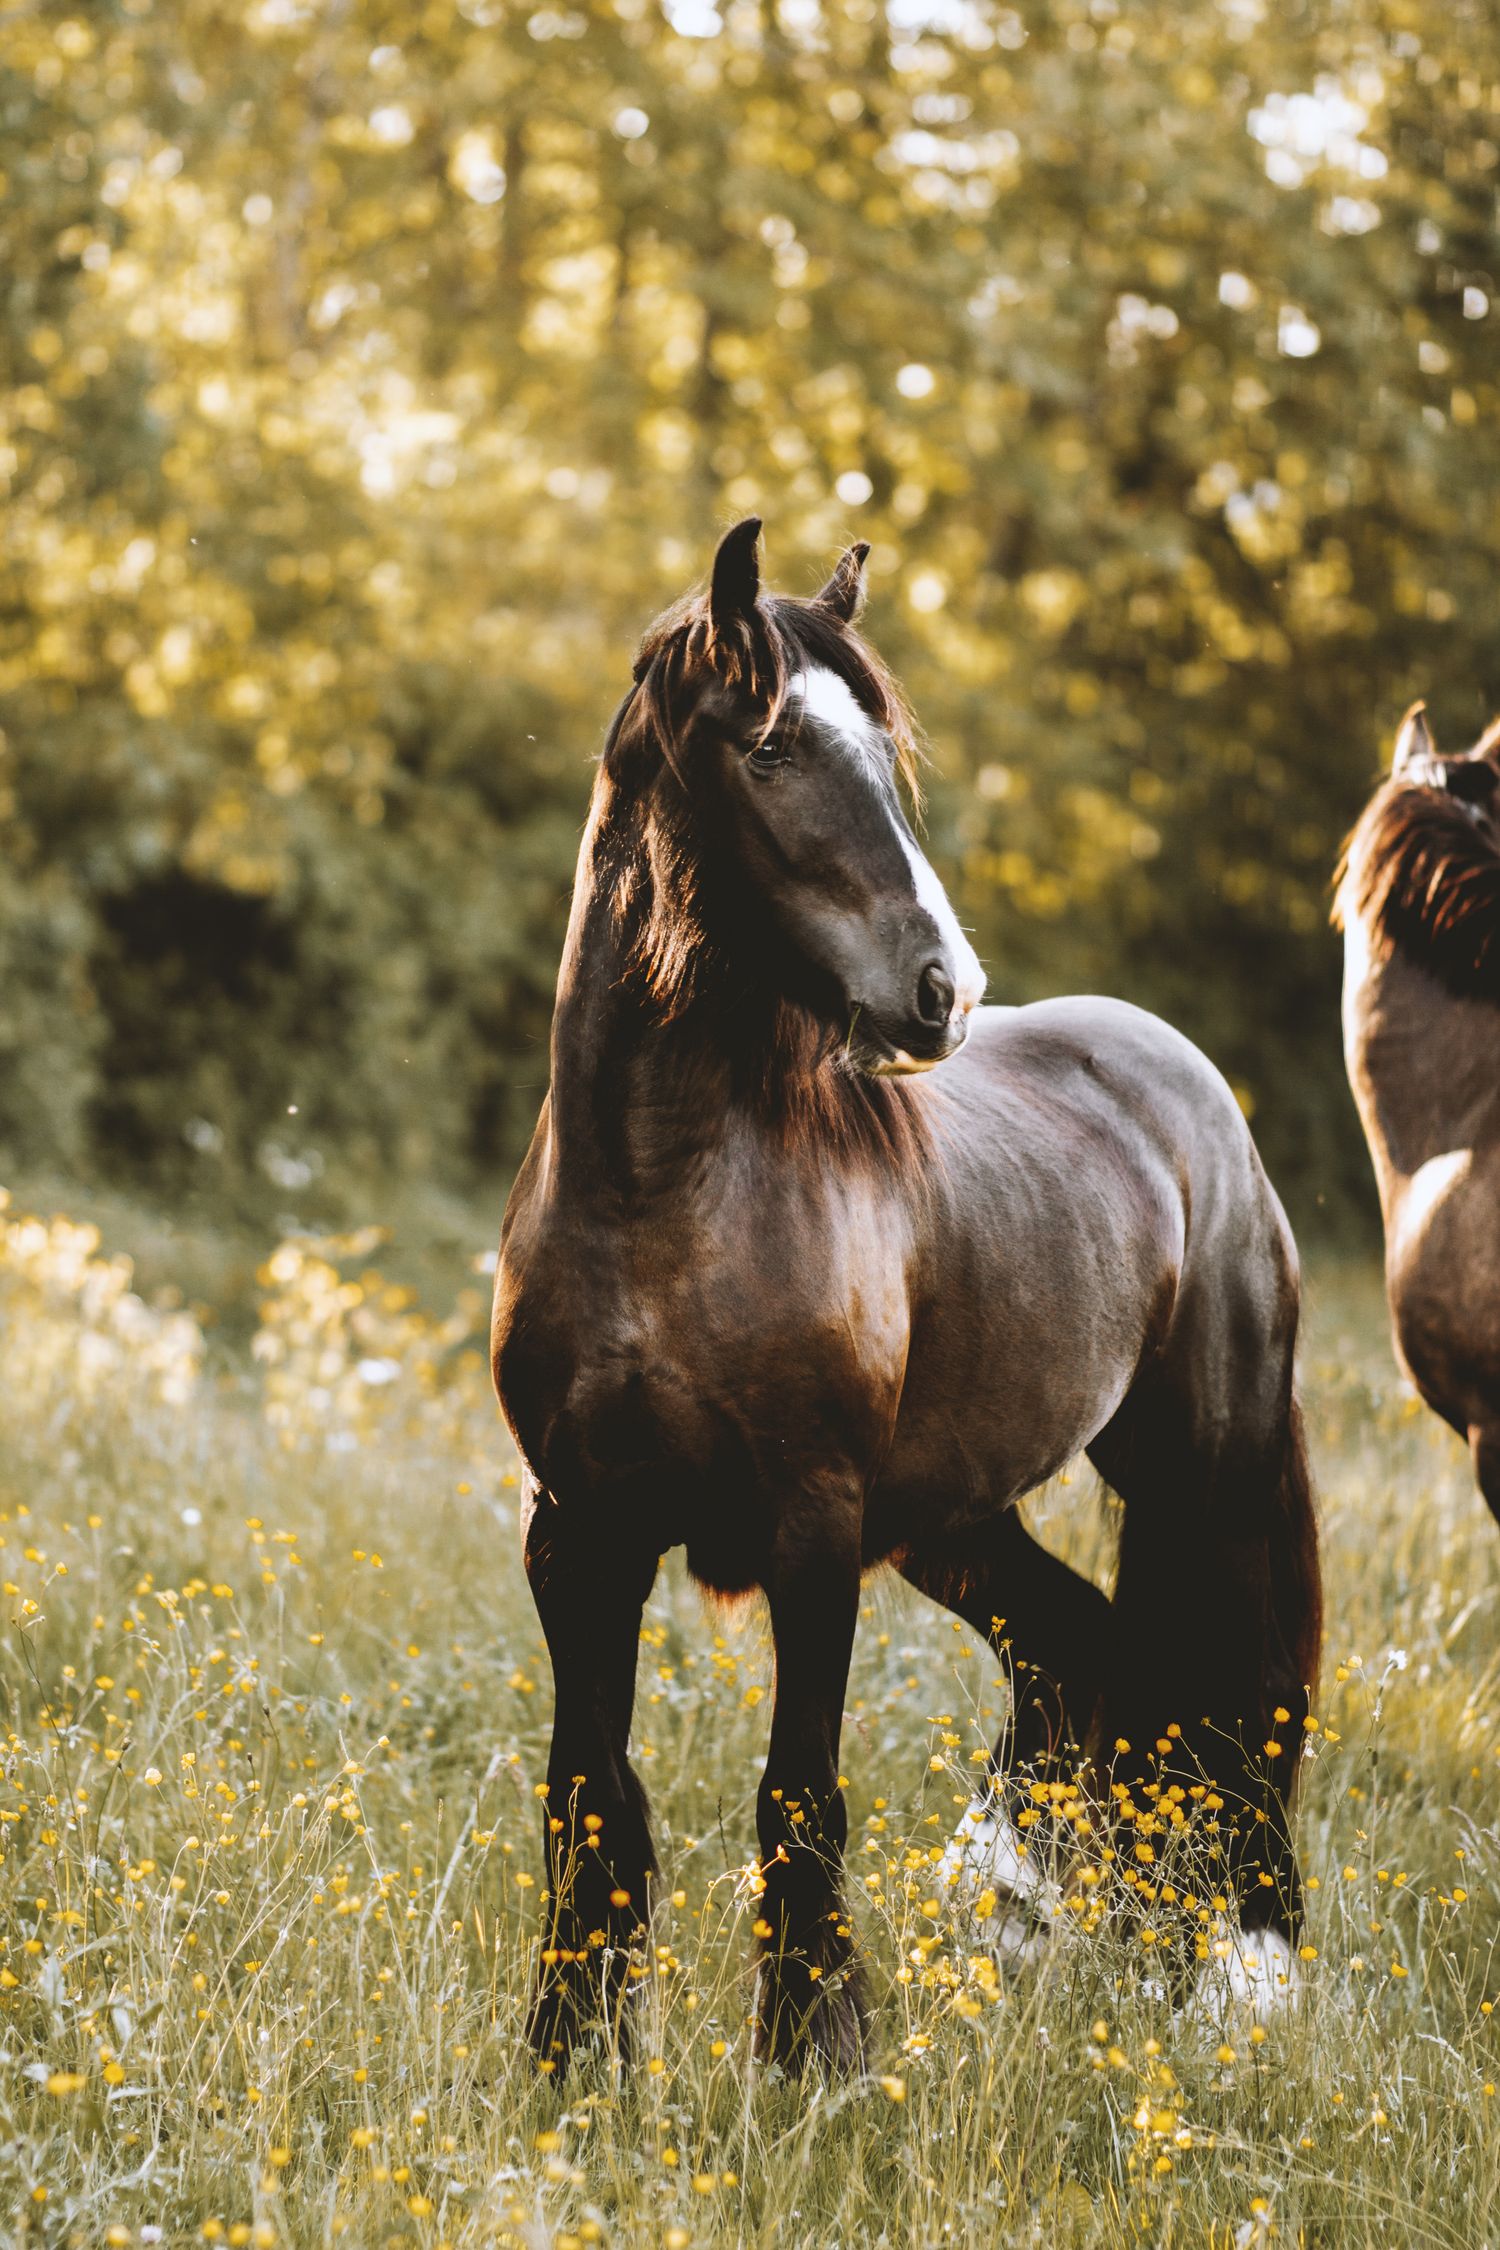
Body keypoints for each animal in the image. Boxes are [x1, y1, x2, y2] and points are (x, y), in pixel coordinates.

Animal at [491, 520, 1322, 2073]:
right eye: (769, 748)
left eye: (883, 750)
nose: (945, 988)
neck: (659, 1198)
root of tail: (1178, 1074)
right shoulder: (579, 1530)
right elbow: (591, 1796)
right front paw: (570, 2057)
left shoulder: (813, 1532)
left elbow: (795, 1795)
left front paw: (813, 2058)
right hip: (955, 1515)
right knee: (1076, 1651)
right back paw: (1033, 1917)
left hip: (1207, 1465)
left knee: (1238, 1693)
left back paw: (1248, 1970)